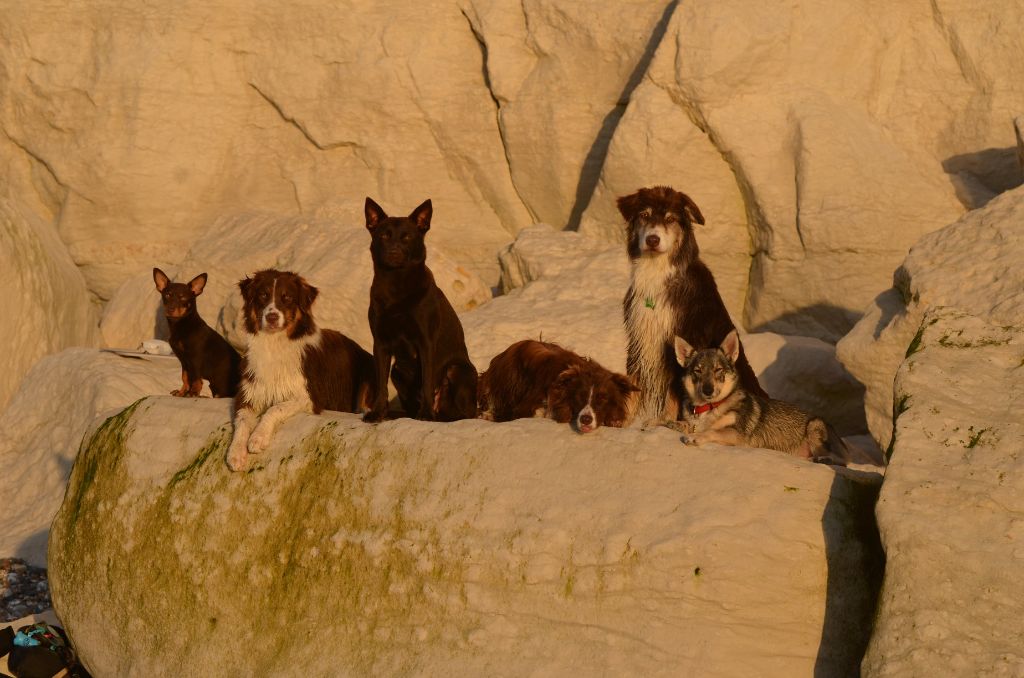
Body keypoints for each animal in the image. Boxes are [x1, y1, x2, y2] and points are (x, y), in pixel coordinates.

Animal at [226, 270, 378, 473]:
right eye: (263, 295)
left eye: (287, 298)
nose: (272, 317)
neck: (274, 344)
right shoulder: (247, 393)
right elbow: (241, 421)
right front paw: (235, 453)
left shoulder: (309, 396)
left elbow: (275, 408)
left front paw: (258, 437)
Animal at [362, 196, 477, 421]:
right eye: (384, 235)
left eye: (407, 237)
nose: (394, 253)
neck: (396, 286)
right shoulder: (380, 343)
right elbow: (381, 385)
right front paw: (378, 413)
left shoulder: (426, 341)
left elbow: (426, 382)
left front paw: (426, 414)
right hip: (397, 372)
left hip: (458, 370)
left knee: (465, 414)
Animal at [614, 184, 770, 430]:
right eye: (645, 215)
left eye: (670, 219)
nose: (653, 239)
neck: (657, 271)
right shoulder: (640, 336)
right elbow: (633, 383)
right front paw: (625, 423)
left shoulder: (677, 340)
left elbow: (674, 392)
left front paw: (663, 422)